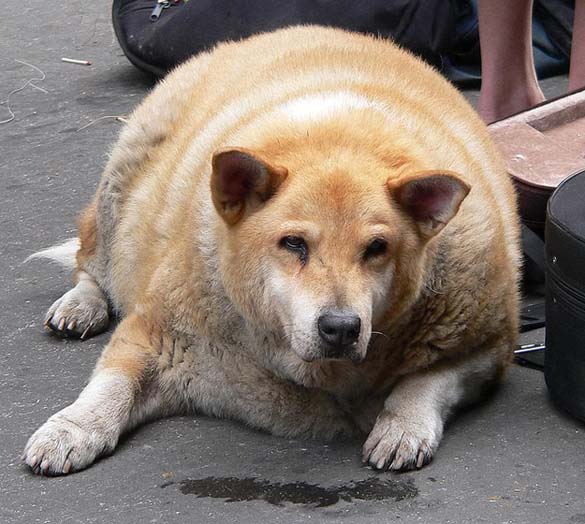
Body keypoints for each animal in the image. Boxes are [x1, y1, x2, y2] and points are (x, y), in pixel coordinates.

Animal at [21, 25, 520, 474]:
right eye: (293, 243)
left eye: (377, 247)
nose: (341, 328)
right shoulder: (157, 333)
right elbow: (112, 383)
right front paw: (73, 428)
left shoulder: (488, 348)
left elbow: (427, 382)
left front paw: (404, 425)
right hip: (123, 177)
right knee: (90, 259)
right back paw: (82, 302)